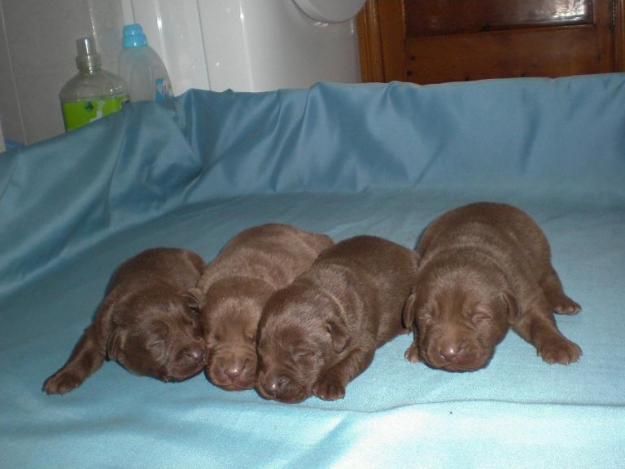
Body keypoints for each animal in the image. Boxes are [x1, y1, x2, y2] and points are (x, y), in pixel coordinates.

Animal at [42, 247, 207, 394]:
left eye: (192, 324)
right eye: (157, 342)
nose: (199, 354)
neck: (143, 290)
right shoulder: (100, 327)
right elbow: (84, 353)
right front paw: (62, 377)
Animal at [256, 236, 416, 404]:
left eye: (303, 354)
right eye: (260, 350)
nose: (271, 386)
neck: (323, 291)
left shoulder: (363, 340)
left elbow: (349, 361)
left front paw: (328, 384)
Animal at [402, 203, 584, 372]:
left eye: (479, 317)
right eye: (426, 316)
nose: (449, 353)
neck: (465, 251)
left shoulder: (523, 290)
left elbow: (540, 319)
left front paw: (559, 345)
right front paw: (417, 348)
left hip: (539, 251)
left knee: (550, 277)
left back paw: (564, 303)